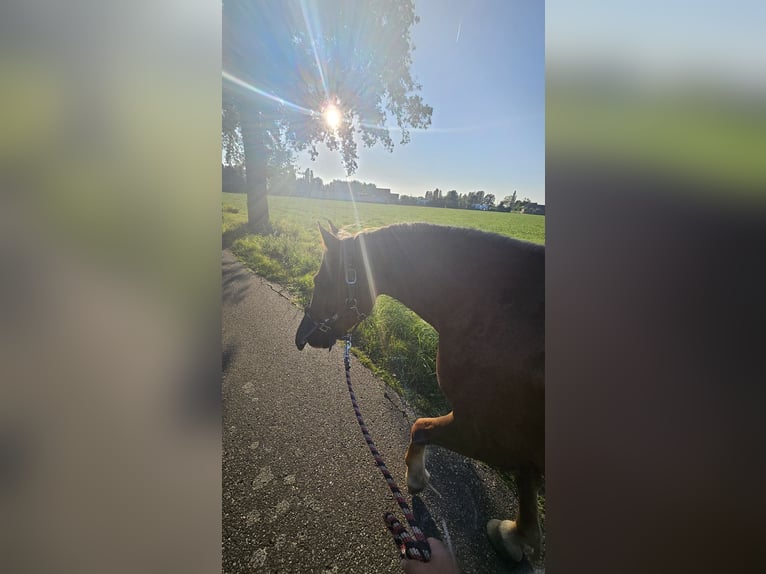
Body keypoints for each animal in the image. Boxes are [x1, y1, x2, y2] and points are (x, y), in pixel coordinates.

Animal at [296, 224, 544, 564]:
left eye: (320, 281)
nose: (300, 338)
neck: (494, 310)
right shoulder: (518, 439)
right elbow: (526, 479)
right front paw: (517, 535)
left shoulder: (484, 431)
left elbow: (419, 426)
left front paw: (415, 476)